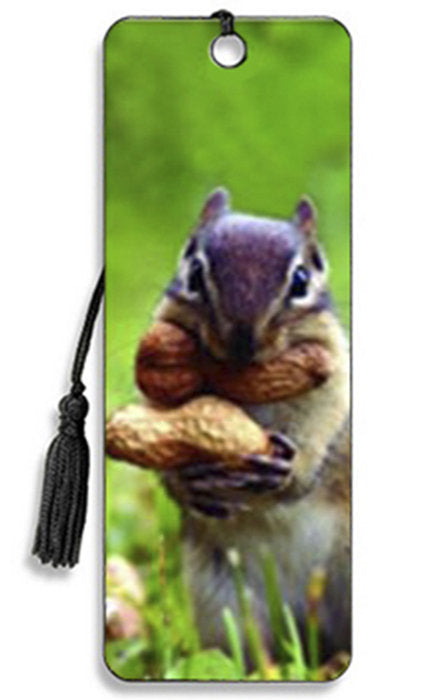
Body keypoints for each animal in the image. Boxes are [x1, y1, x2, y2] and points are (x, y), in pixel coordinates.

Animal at [153, 188, 350, 661]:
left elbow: (322, 423)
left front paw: (289, 472)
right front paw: (185, 483)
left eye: (301, 280)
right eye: (193, 270)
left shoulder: (333, 375)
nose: (242, 341)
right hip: (222, 599)